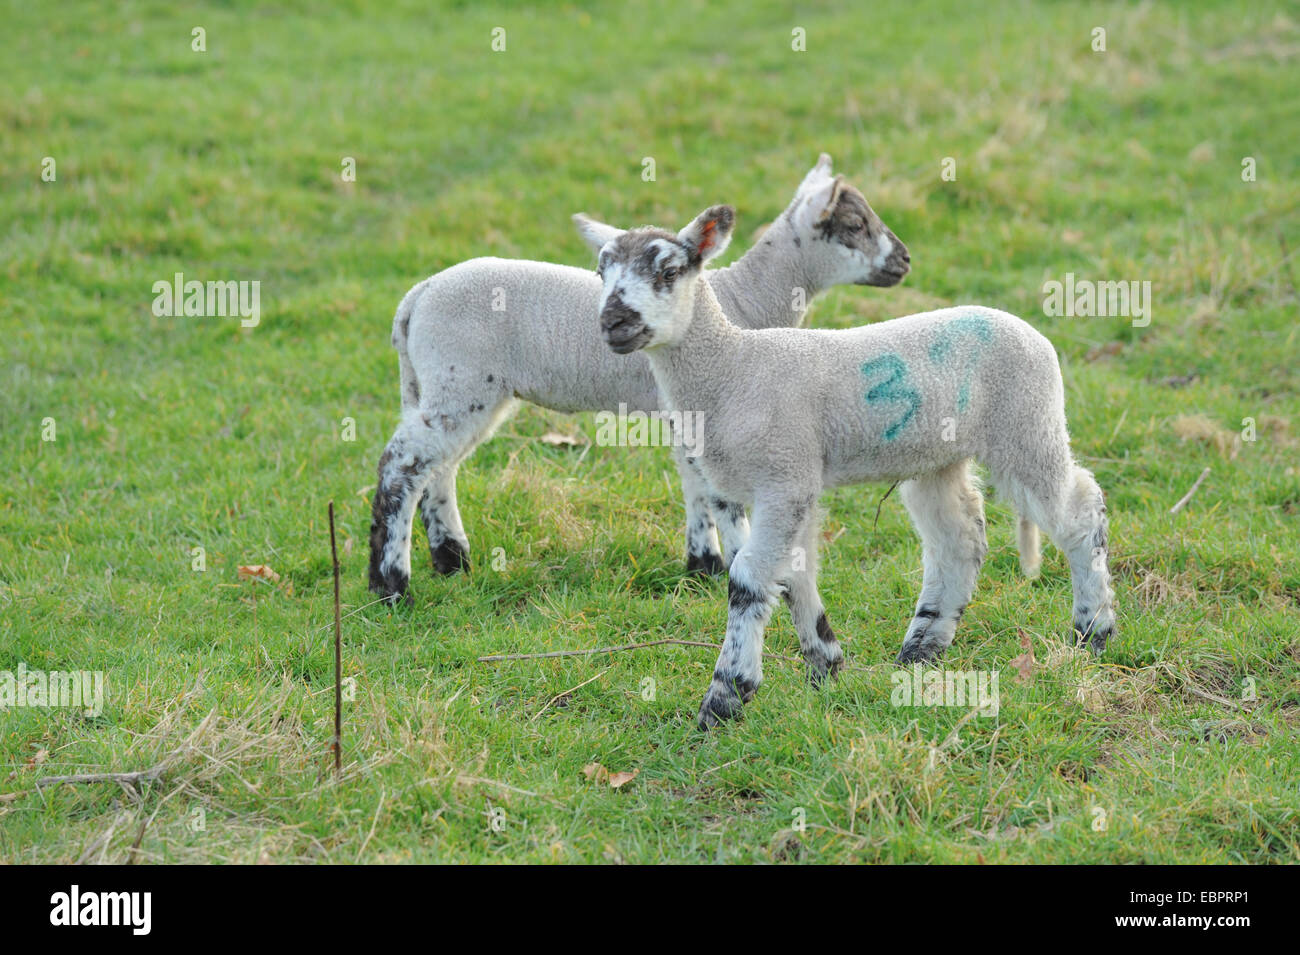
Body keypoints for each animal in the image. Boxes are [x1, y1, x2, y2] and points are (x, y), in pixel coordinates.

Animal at [371, 158, 909, 605]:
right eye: (855, 226)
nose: (904, 259)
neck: (744, 300)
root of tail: (415, 298)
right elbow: (719, 494)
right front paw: (732, 561)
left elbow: (695, 484)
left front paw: (704, 566)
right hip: (461, 379)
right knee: (402, 464)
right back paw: (391, 586)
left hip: (449, 386)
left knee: (438, 469)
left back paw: (452, 561)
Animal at [579, 203, 1118, 732]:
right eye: (601, 271)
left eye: (669, 271)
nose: (613, 323)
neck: (731, 369)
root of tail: (1028, 330)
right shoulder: (786, 483)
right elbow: (794, 577)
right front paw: (826, 666)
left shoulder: (785, 476)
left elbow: (748, 580)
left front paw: (725, 698)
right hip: (938, 455)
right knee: (959, 540)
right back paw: (921, 649)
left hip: (1027, 422)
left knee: (1079, 511)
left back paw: (1093, 630)